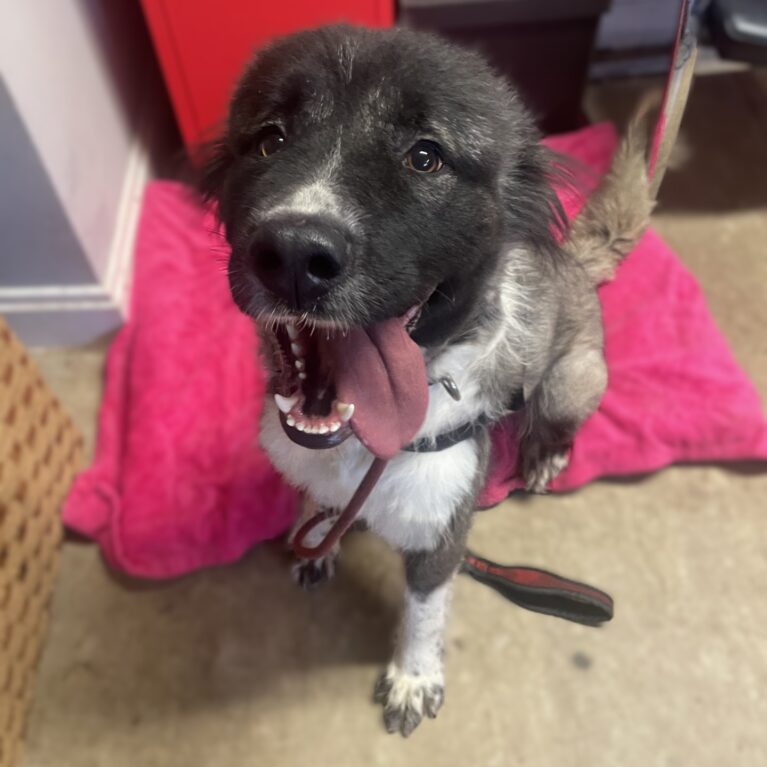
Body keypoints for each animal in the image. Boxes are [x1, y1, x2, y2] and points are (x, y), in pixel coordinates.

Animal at [202, 24, 653, 736]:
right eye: (270, 138)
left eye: (425, 156)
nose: (295, 255)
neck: (361, 451)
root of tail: (580, 268)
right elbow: (319, 510)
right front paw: (317, 540)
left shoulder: (444, 534)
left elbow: (424, 611)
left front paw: (414, 679)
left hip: (572, 381)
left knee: (555, 421)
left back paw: (542, 455)